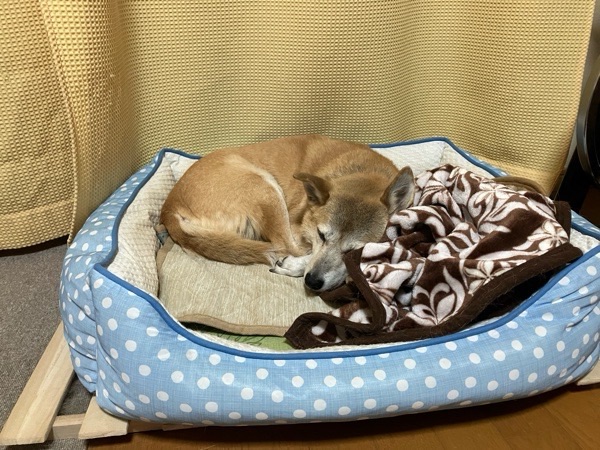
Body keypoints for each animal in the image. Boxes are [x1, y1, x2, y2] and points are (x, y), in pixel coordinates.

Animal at [160, 135, 415, 292]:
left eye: (356, 251)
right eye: (321, 235)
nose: (312, 282)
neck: (365, 172)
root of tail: (169, 208)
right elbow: (305, 253)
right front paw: (294, 266)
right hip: (265, 188)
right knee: (283, 245)